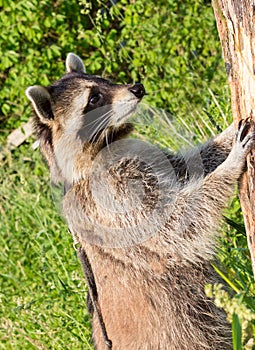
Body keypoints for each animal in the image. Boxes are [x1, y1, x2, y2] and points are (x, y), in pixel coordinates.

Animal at [26, 52, 255, 350]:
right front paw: (231, 164)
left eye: (105, 79)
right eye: (94, 98)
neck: (106, 144)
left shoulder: (144, 158)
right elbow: (176, 223)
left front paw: (226, 137)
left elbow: (188, 166)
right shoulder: (111, 195)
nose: (137, 87)